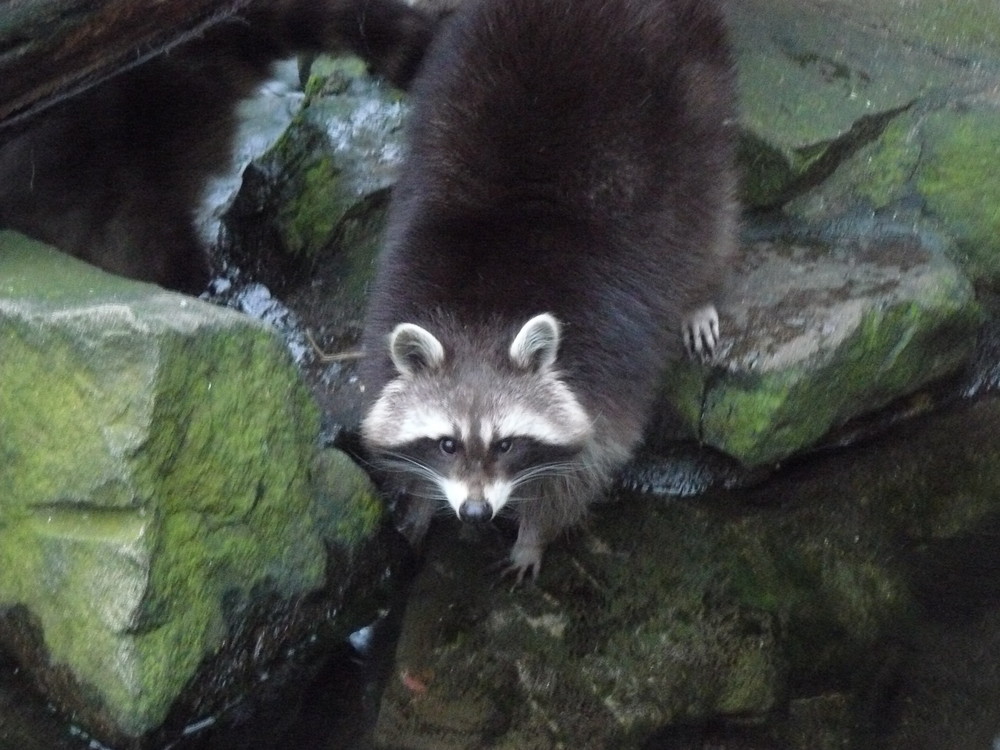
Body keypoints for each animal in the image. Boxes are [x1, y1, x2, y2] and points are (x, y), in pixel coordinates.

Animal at [360, 0, 736, 580]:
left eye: (507, 443)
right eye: (446, 443)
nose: (474, 513)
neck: (482, 315)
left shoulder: (606, 365)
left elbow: (589, 462)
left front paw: (534, 534)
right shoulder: (399, 290)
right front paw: (418, 502)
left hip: (694, 92)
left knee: (708, 204)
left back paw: (699, 291)